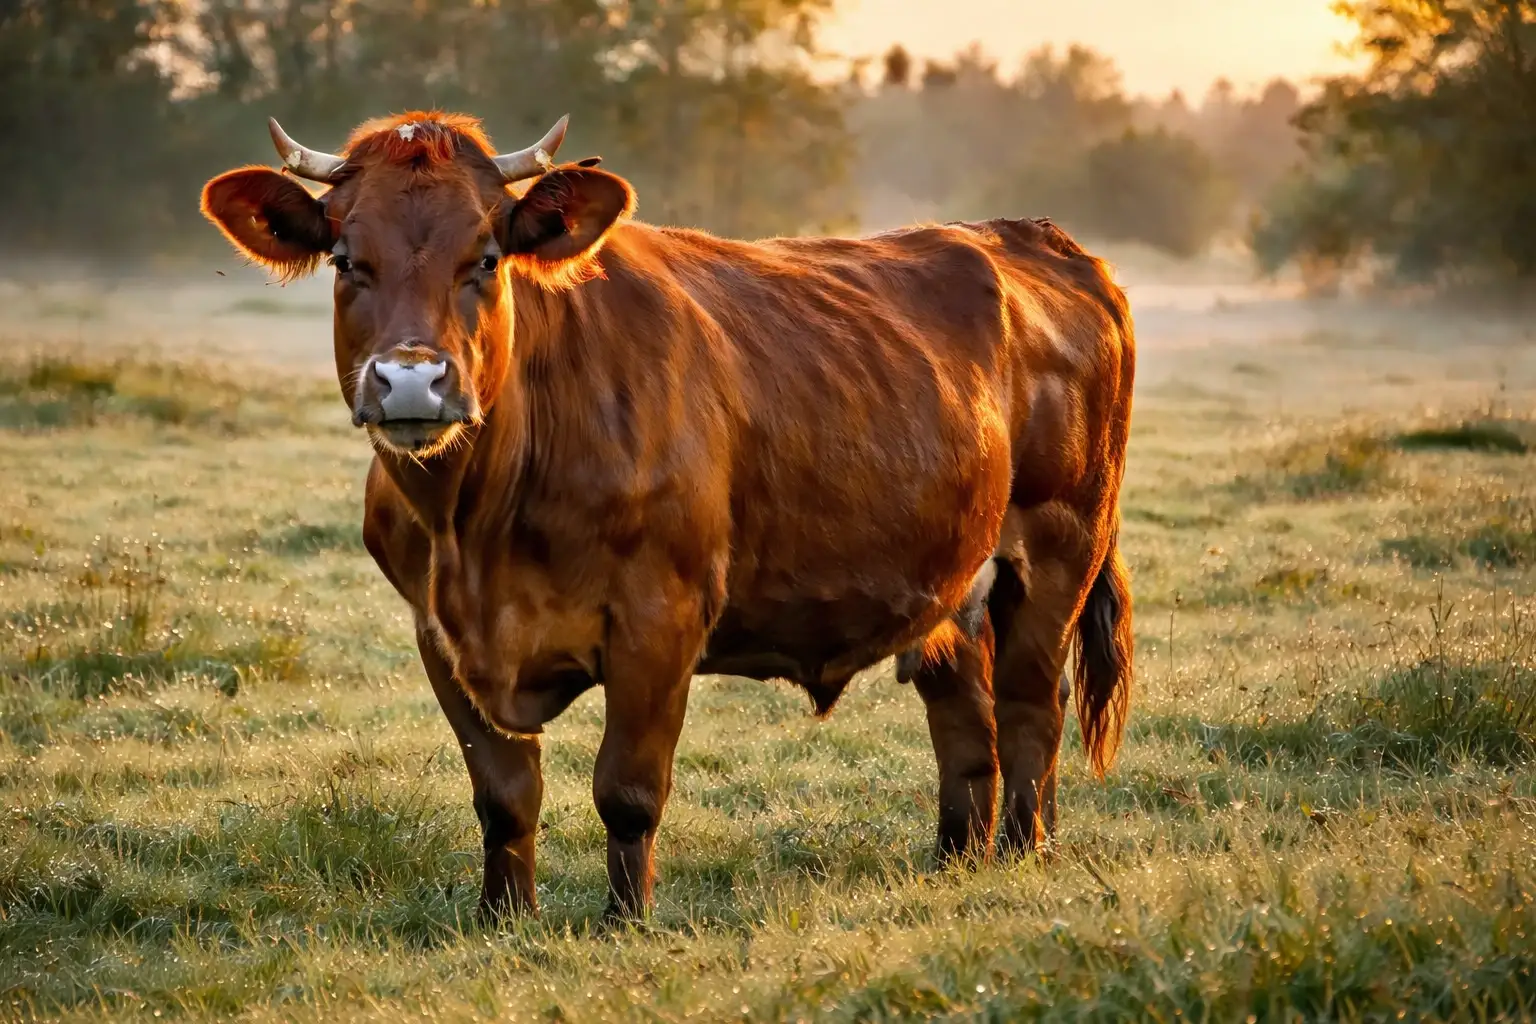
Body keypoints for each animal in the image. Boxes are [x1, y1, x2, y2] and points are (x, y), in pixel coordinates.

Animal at [199, 110, 1136, 921]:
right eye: (345, 260)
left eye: (488, 258)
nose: (411, 381)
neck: (475, 527)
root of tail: (1032, 237)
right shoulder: (437, 630)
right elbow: (504, 795)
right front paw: (502, 920)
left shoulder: (662, 615)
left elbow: (627, 789)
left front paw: (626, 920)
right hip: (950, 578)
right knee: (965, 718)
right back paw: (955, 859)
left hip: (1060, 544)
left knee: (1029, 704)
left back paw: (1024, 853)